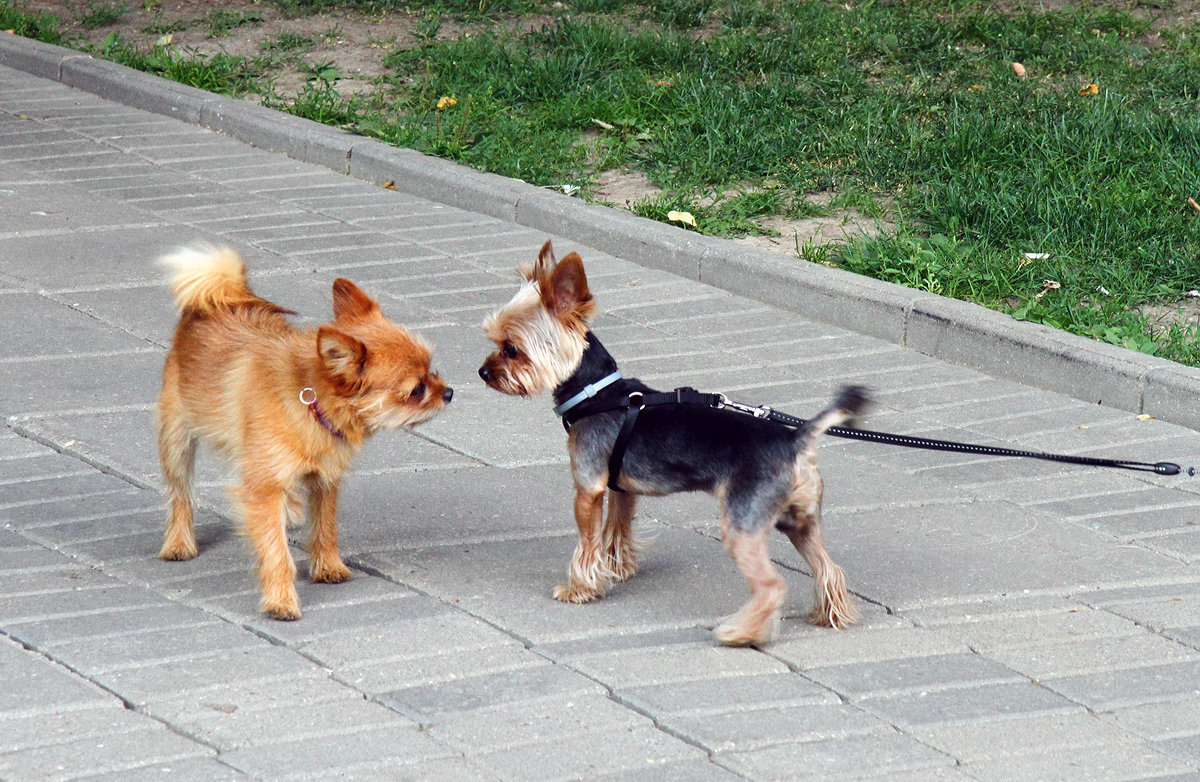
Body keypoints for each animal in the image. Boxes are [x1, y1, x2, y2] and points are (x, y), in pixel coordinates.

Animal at [152, 247, 448, 618]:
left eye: (432, 369)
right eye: (416, 389)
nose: (449, 392)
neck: (311, 402)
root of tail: (218, 299)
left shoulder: (325, 480)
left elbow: (325, 526)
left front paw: (328, 566)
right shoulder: (263, 486)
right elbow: (275, 549)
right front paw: (281, 599)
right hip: (177, 440)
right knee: (180, 493)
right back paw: (179, 542)